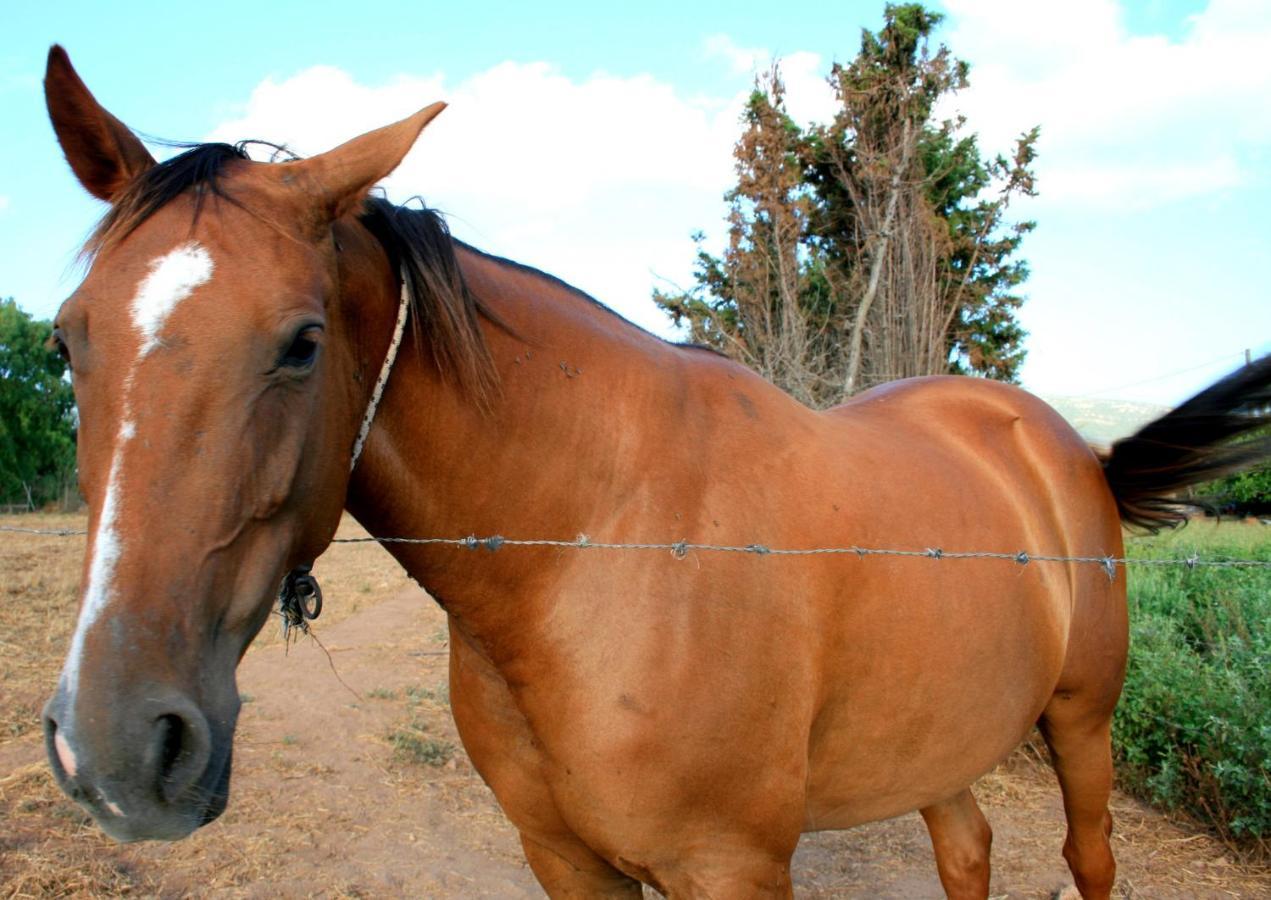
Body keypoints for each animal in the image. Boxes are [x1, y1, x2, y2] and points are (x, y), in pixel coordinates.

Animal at [42, 45, 1271, 894]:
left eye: (300, 342)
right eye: (66, 339)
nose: (116, 748)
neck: (592, 546)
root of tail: (1059, 444)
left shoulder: (729, 867)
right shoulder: (565, 859)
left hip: (1081, 724)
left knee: (1087, 856)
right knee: (964, 846)